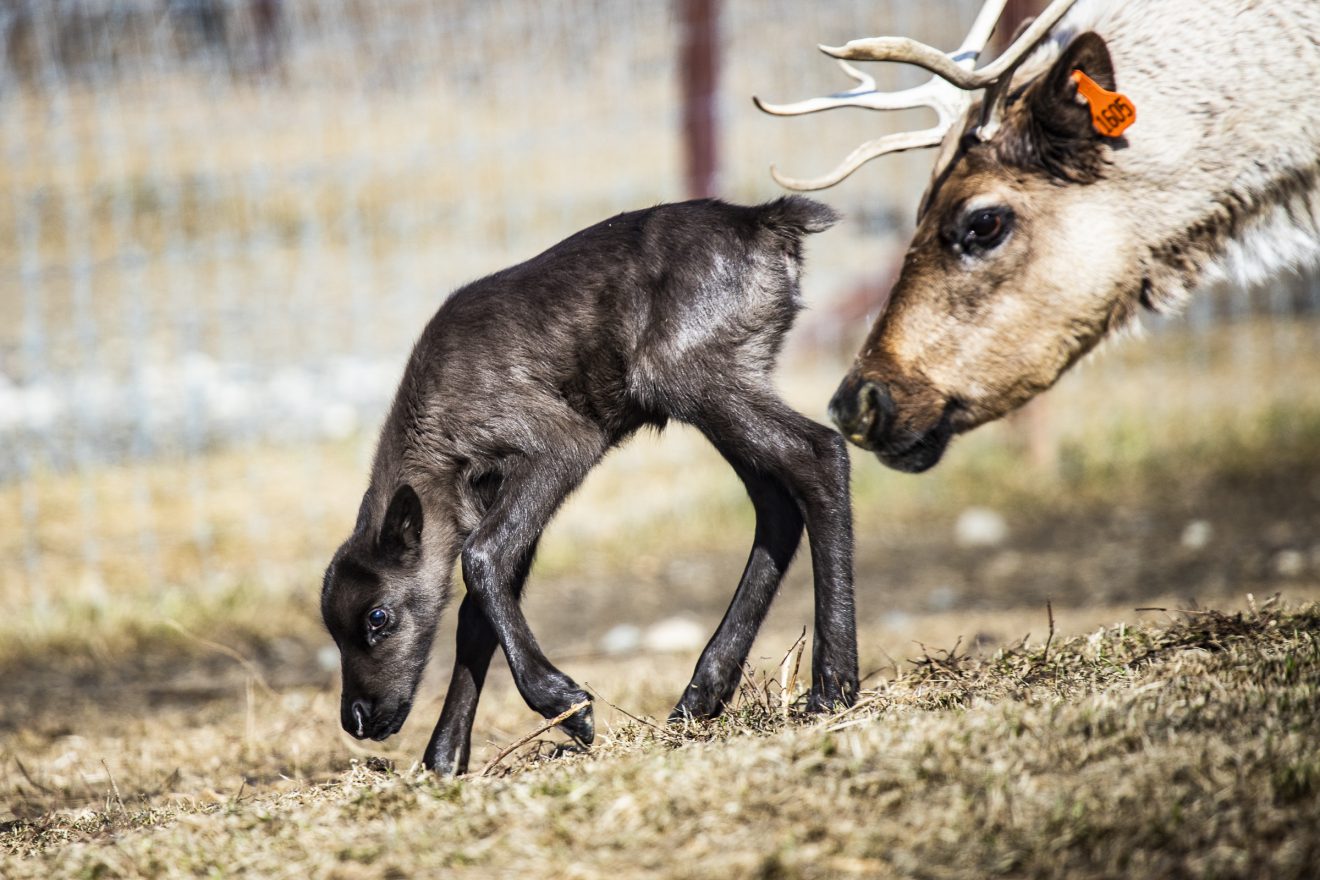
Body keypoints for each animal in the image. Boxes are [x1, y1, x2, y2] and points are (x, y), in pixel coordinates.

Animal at [320, 197, 858, 775]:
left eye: (378, 617)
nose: (357, 718)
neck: (437, 436)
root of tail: (766, 219)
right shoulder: (494, 495)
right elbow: (478, 607)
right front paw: (443, 759)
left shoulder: (560, 443)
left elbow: (480, 558)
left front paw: (567, 705)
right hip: (721, 382)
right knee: (777, 505)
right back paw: (700, 697)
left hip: (689, 375)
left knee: (820, 454)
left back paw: (832, 687)